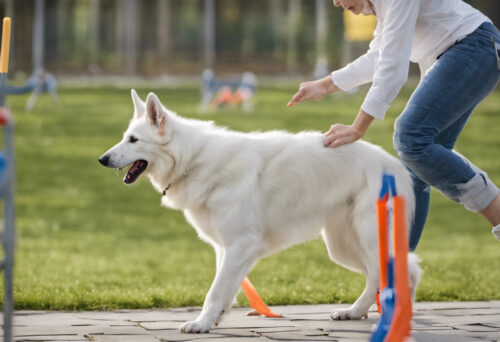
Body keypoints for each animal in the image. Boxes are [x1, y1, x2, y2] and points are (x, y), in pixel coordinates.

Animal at [99, 90, 420, 334]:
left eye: (133, 140)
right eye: (125, 137)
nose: (102, 159)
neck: (194, 159)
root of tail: (395, 166)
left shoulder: (241, 244)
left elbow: (215, 291)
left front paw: (201, 324)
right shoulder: (226, 248)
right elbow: (224, 289)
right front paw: (213, 320)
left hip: (366, 238)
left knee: (396, 271)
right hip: (342, 246)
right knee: (386, 273)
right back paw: (356, 312)